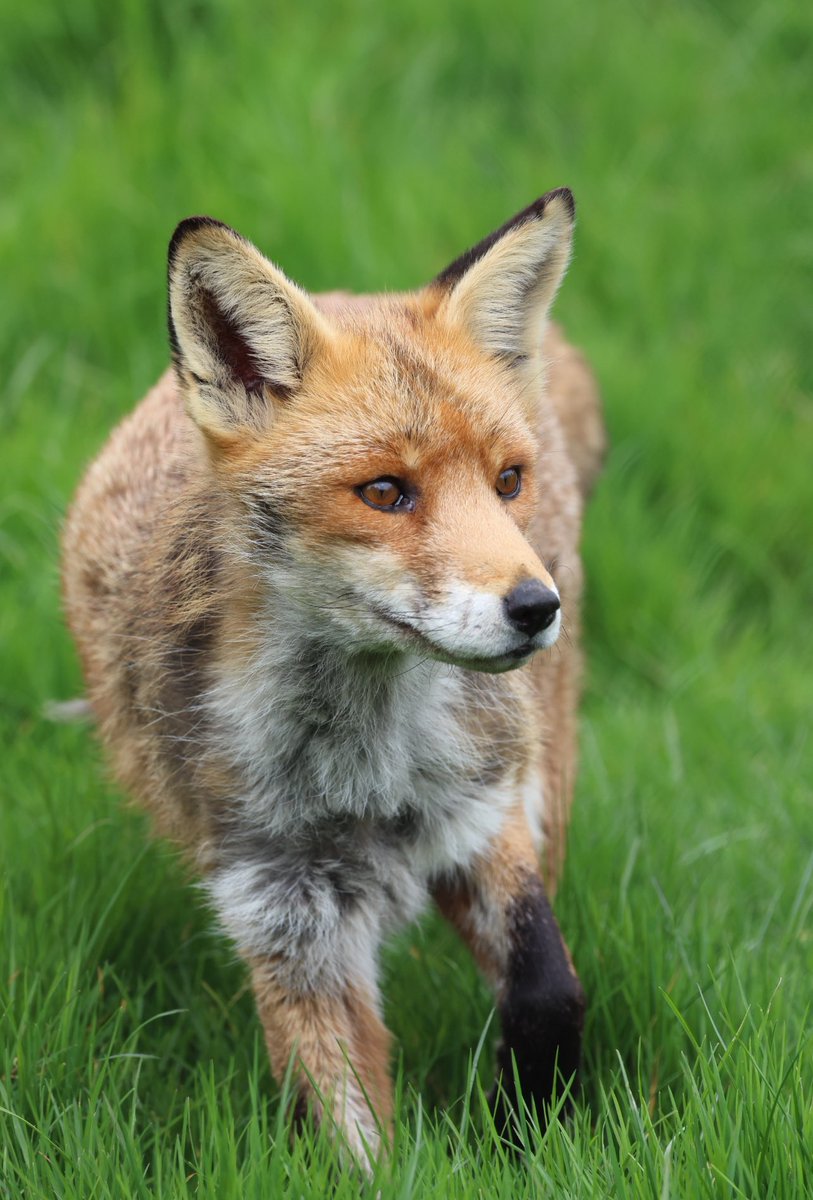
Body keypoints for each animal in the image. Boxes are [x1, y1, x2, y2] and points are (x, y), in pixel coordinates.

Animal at [62, 187, 604, 1161]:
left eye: (506, 480)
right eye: (384, 493)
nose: (534, 607)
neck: (367, 777)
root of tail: (357, 289)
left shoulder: (482, 818)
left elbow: (549, 990)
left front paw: (526, 1137)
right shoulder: (281, 911)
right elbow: (344, 1122)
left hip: (543, 774)